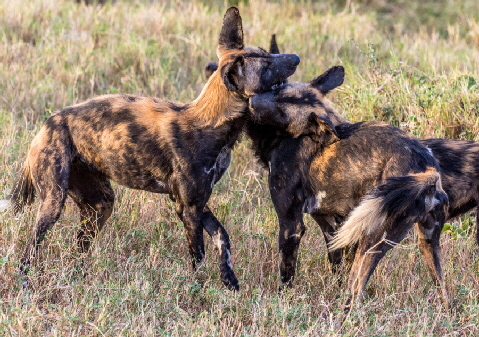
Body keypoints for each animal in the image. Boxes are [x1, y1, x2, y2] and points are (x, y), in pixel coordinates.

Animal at [4, 6, 300, 288]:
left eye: (267, 54)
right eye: (266, 66)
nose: (296, 58)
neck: (211, 124)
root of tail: (47, 124)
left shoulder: (196, 203)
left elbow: (222, 238)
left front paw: (229, 281)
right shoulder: (188, 208)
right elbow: (198, 256)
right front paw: (196, 289)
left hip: (99, 205)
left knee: (78, 251)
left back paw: (78, 277)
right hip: (53, 203)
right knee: (29, 250)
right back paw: (25, 282)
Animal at [248, 65, 450, 310]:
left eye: (282, 115)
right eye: (277, 88)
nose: (252, 101)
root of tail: (425, 167)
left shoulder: (291, 225)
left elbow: (286, 274)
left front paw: (281, 301)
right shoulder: (332, 225)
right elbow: (337, 268)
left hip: (373, 239)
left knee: (355, 290)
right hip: (428, 241)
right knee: (442, 288)